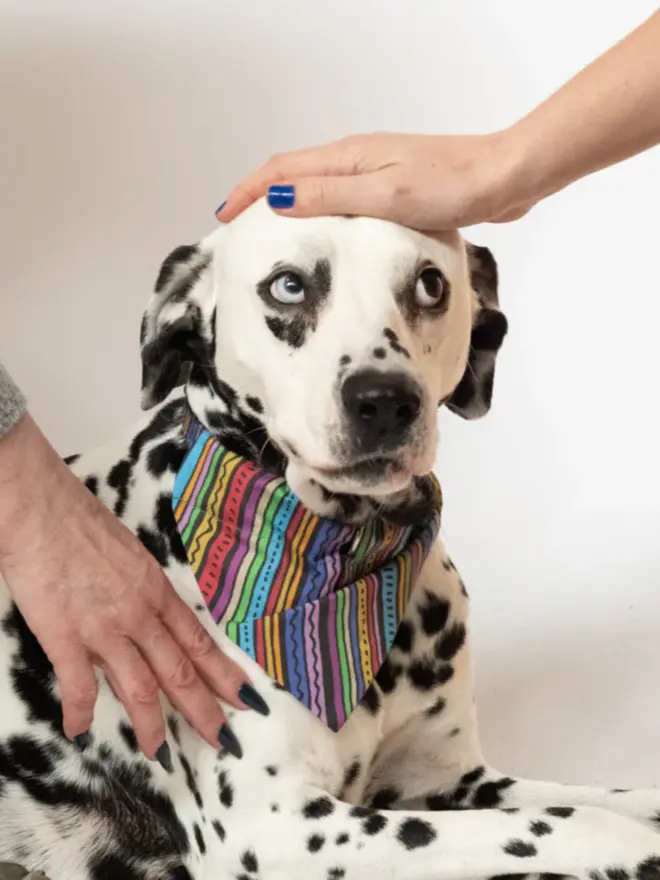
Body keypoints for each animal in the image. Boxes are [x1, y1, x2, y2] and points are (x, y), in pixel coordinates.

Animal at [0, 199, 660, 880]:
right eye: (288, 285)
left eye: (431, 284)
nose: (384, 401)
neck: (345, 564)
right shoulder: (274, 830)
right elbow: (572, 823)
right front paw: (634, 849)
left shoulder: (451, 779)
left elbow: (598, 802)